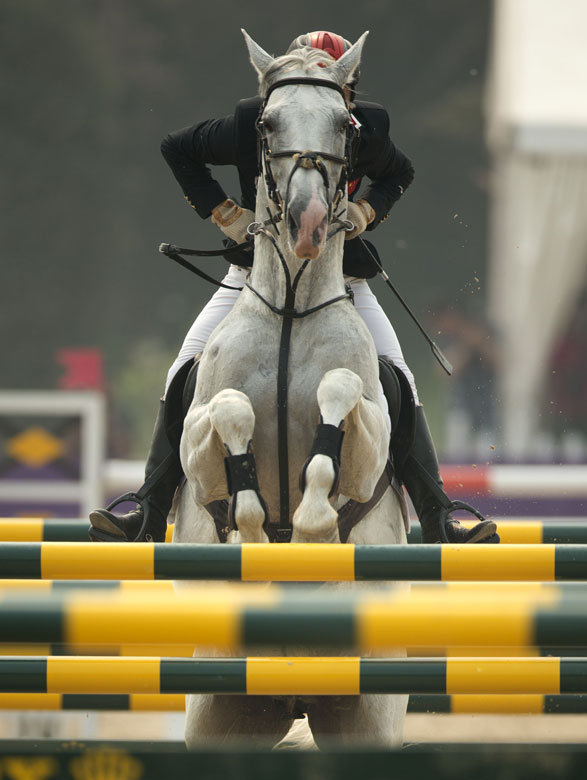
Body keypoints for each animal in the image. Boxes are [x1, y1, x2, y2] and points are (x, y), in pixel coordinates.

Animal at [173, 30, 408, 748]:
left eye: (345, 126)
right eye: (267, 124)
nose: (305, 225)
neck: (290, 309)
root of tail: (295, 699)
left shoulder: (367, 449)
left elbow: (338, 400)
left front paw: (308, 530)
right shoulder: (199, 449)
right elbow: (229, 414)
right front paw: (256, 536)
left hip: (366, 719)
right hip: (218, 715)